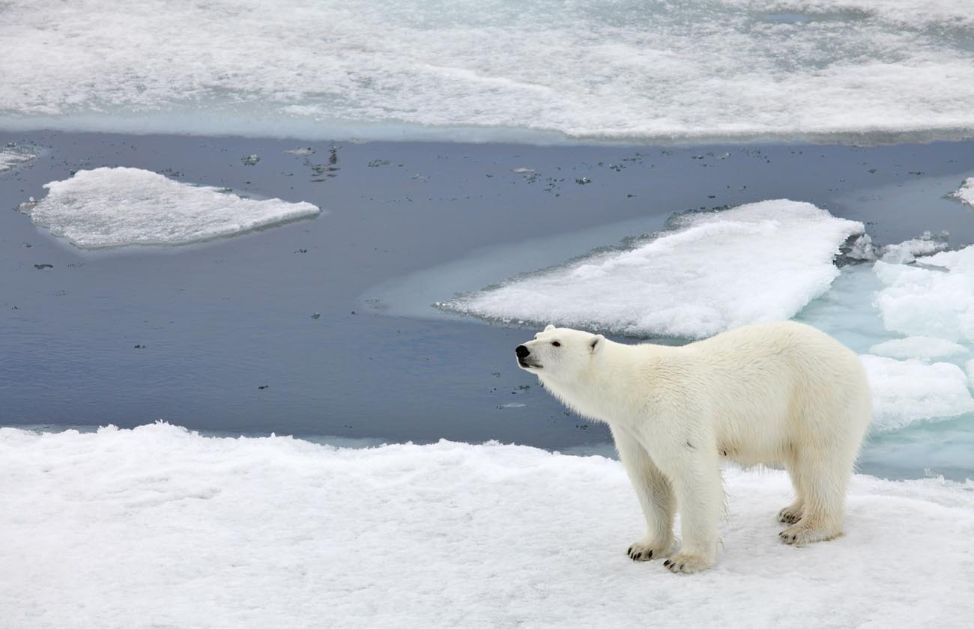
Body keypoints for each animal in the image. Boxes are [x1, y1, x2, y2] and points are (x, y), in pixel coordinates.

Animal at [515, 321, 872, 574]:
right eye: (537, 334)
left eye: (556, 343)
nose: (521, 349)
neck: (633, 387)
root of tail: (851, 357)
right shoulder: (632, 430)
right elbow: (649, 481)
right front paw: (644, 547)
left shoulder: (673, 411)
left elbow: (692, 474)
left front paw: (686, 560)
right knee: (798, 460)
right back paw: (793, 510)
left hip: (817, 397)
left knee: (821, 461)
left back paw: (807, 528)